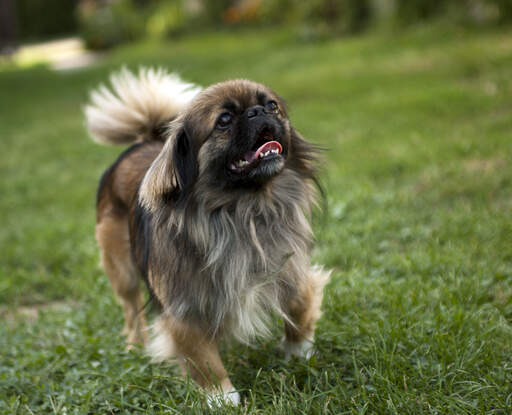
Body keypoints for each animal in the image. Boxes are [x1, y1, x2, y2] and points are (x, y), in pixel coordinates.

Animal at [86, 68, 330, 406]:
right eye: (224, 120)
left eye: (272, 106)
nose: (259, 112)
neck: (243, 211)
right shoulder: (185, 307)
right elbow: (202, 357)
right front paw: (222, 397)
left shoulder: (289, 268)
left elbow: (300, 304)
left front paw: (298, 353)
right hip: (122, 271)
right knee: (131, 310)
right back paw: (136, 347)